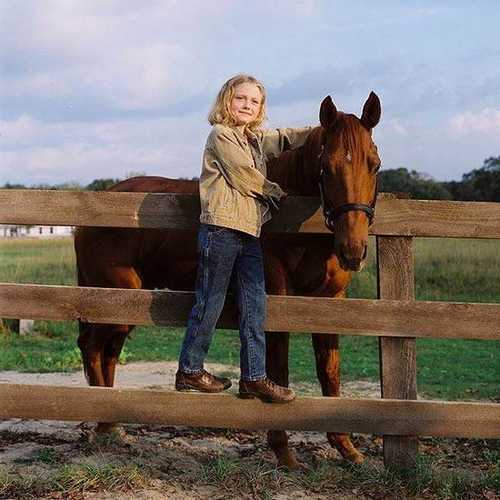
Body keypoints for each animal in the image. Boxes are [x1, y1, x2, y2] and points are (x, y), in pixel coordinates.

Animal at [74, 93, 380, 468]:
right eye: (327, 166)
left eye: (374, 164)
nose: (353, 250)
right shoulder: (278, 299)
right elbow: (278, 368)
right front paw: (283, 452)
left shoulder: (330, 302)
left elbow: (330, 372)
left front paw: (346, 448)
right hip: (113, 299)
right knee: (92, 347)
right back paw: (104, 425)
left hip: (124, 305)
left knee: (108, 352)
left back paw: (113, 425)